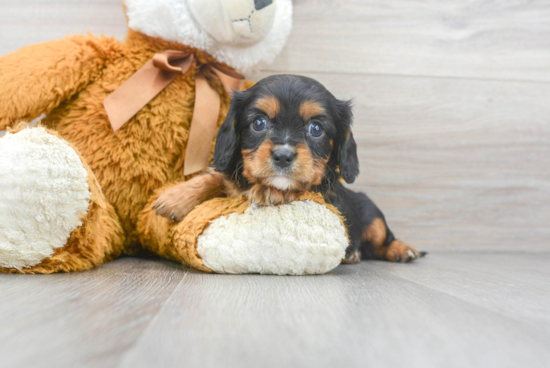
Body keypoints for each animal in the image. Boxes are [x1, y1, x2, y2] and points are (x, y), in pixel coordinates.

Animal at [153, 74, 424, 262]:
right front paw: (176, 197)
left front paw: (271, 191)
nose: (283, 156)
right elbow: (217, 177)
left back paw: (401, 250)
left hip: (374, 216)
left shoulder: (327, 197)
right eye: (259, 123)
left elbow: (300, 188)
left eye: (316, 128)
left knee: (382, 241)